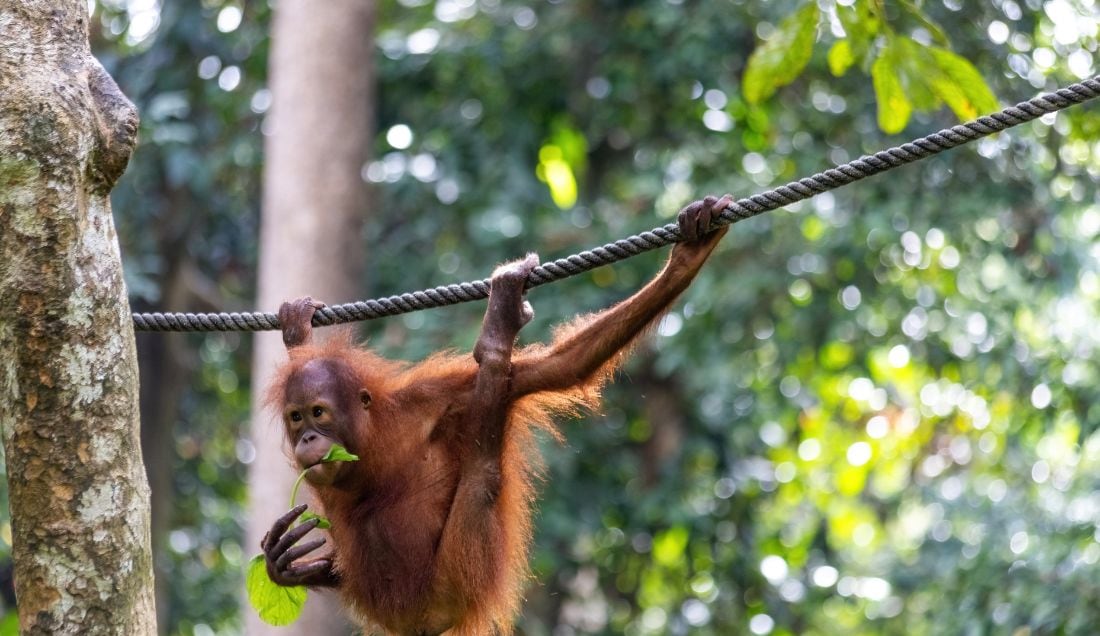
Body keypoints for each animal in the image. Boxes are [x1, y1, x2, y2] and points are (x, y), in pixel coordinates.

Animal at [260, 195, 734, 635]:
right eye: (297, 418)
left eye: (319, 413)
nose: (308, 438)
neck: (370, 443)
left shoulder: (434, 400)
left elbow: (561, 367)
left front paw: (685, 259)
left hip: (457, 579)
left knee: (485, 472)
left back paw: (496, 334)